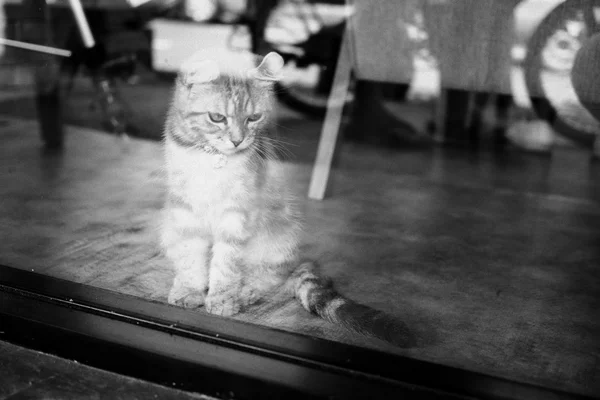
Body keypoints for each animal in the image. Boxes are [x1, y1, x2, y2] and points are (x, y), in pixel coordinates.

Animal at [161, 49, 412, 346]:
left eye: (254, 118)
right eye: (217, 117)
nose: (238, 141)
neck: (211, 160)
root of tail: (299, 261)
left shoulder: (236, 215)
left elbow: (226, 264)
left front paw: (222, 298)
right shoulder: (185, 210)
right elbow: (190, 256)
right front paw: (189, 289)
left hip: (278, 241)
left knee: (274, 278)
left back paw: (246, 291)